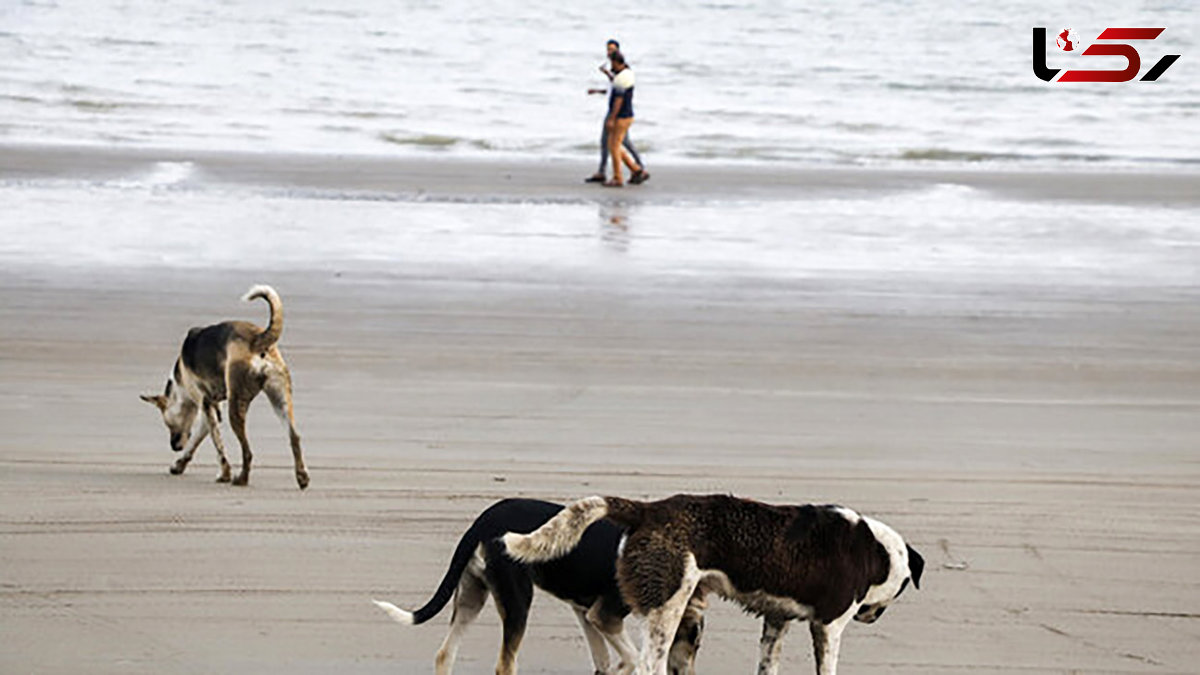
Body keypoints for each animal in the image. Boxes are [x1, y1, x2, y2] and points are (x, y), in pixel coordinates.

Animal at [139, 281, 309, 485]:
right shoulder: (211, 408)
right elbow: (196, 441)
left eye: (168, 423)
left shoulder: (205, 404)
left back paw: (241, 478)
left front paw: (224, 474)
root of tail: (257, 339)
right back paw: (302, 476)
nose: (174, 446)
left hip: (237, 405)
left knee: (247, 451)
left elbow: (218, 446)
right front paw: (179, 464)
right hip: (280, 401)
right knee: (295, 437)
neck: (180, 385)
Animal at [367, 497, 700, 672]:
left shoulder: (585, 615)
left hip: (470, 598)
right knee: (504, 665)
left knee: (444, 654)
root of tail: (481, 523)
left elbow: (603, 662)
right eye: (695, 643)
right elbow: (630, 659)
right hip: (517, 603)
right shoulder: (604, 616)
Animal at [501, 487, 921, 672]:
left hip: (686, 615)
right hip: (668, 604)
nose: (873, 617)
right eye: (901, 590)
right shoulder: (830, 625)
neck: (876, 552)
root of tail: (648, 510)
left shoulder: (776, 620)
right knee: (646, 662)